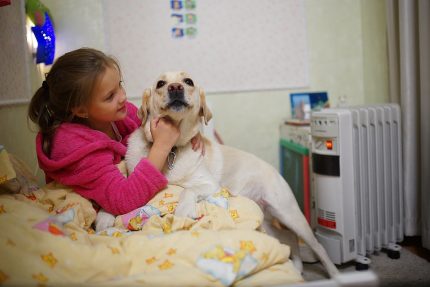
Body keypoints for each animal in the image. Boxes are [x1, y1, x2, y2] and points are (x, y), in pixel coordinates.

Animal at [124, 71, 340, 280]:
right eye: (160, 84)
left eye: (188, 81)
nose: (175, 87)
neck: (172, 149)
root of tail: (273, 169)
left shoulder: (209, 184)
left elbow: (187, 191)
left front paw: (182, 211)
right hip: (267, 220)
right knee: (288, 237)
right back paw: (297, 265)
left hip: (288, 213)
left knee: (317, 245)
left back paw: (334, 274)